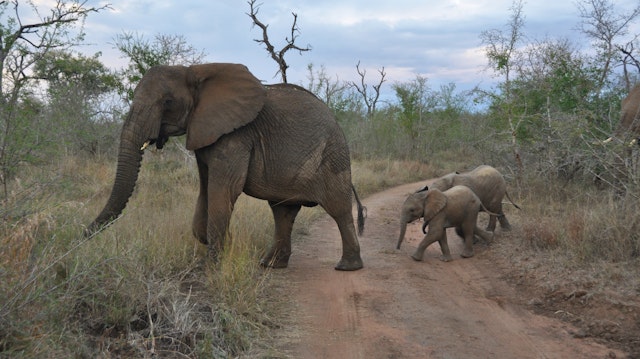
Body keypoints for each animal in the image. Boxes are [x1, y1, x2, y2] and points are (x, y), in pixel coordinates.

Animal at [85, 62, 364, 270]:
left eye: (167, 102)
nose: (82, 235)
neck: (195, 71)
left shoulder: (237, 136)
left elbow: (225, 190)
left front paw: (214, 265)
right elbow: (206, 190)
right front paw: (218, 242)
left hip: (333, 156)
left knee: (338, 208)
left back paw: (347, 266)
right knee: (282, 212)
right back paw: (270, 264)